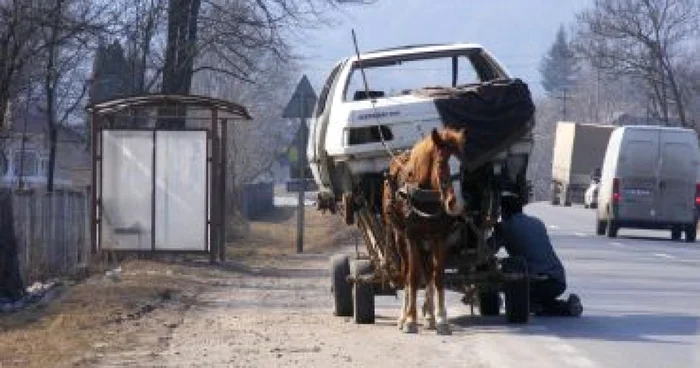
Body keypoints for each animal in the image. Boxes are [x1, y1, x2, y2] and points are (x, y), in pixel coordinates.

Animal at [382, 126, 464, 334]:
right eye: (441, 164)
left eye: (462, 165)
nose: (457, 204)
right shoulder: (412, 237)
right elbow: (412, 276)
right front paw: (410, 320)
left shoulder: (440, 237)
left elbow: (438, 276)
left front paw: (442, 319)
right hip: (400, 240)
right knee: (407, 272)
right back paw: (403, 317)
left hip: (428, 242)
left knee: (428, 273)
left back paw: (430, 316)